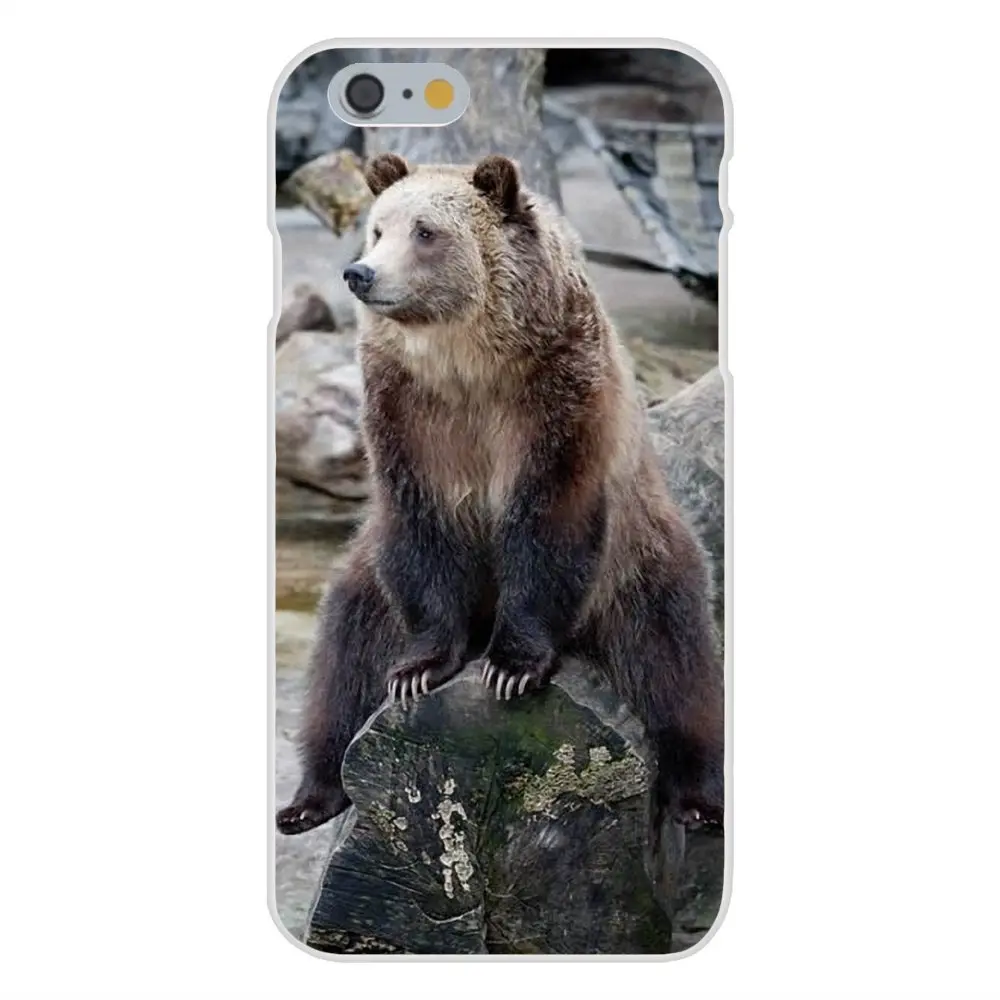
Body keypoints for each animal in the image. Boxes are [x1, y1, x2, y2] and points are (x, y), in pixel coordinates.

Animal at [275, 151, 724, 840]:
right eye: (378, 229)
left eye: (426, 231)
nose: (361, 273)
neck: (468, 362)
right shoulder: (406, 412)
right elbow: (422, 528)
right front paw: (417, 669)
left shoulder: (555, 396)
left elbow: (547, 521)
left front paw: (511, 666)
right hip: (369, 578)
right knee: (343, 655)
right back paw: (309, 797)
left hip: (639, 558)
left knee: (675, 661)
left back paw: (697, 796)